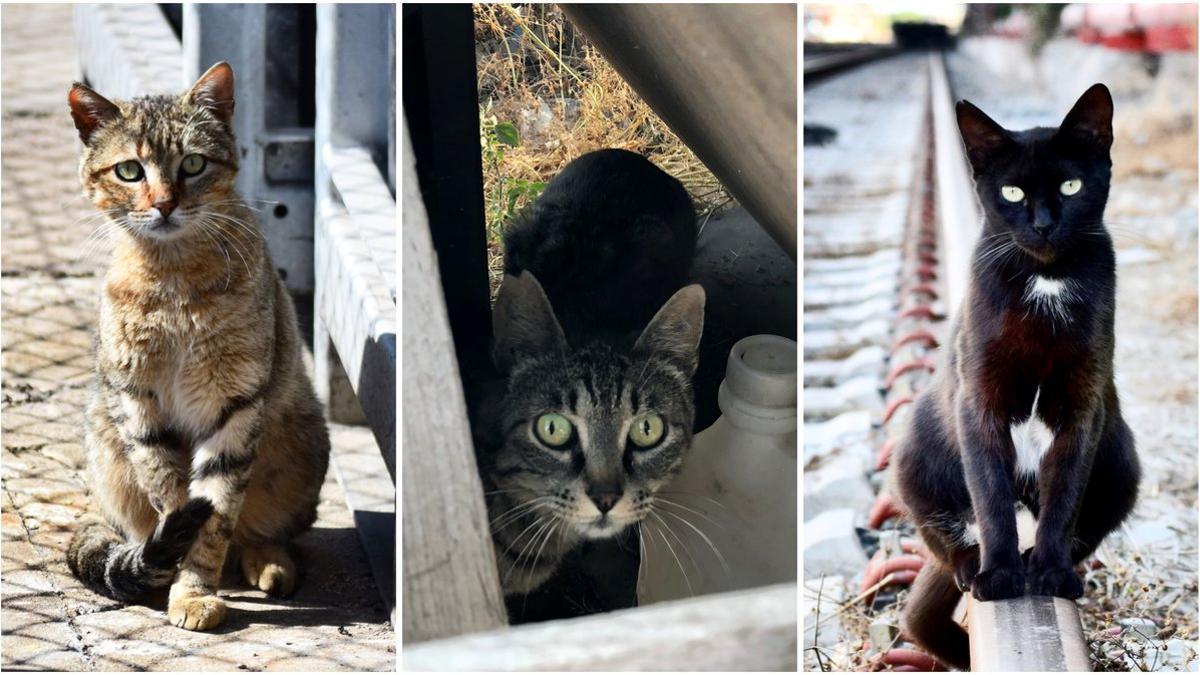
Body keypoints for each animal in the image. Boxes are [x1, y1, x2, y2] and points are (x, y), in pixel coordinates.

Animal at [897, 84, 1137, 667]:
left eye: (1071, 185)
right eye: (1010, 192)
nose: (1044, 223)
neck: (1046, 282)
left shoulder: (1085, 404)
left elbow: (1064, 495)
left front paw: (1048, 572)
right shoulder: (978, 398)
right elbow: (990, 494)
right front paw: (999, 575)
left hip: (1122, 459)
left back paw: (1045, 561)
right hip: (915, 452)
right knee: (944, 533)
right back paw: (974, 565)